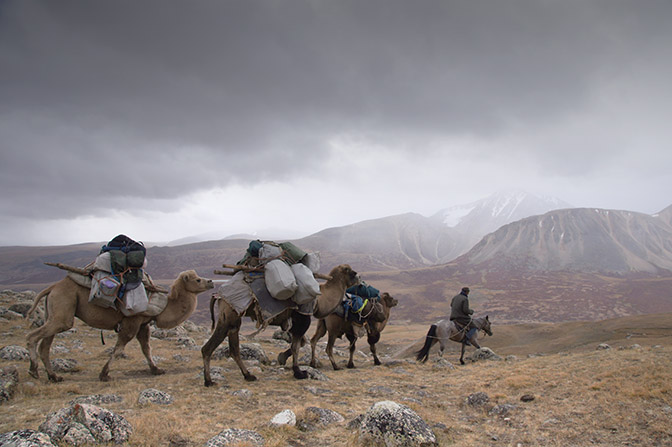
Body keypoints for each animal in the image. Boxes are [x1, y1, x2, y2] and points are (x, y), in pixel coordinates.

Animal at [26, 268, 213, 384]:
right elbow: (120, 346)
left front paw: (156, 369)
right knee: (32, 337)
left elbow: (146, 348)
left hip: (56, 312)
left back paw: (54, 376)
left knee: (45, 346)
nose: (211, 281)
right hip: (63, 308)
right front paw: (104, 374)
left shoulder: (143, 324)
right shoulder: (133, 320)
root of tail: (52, 287)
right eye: (197, 280)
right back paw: (34, 371)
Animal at [201, 264, 360, 386]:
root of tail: (218, 295)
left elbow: (299, 343)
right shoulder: (302, 317)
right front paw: (299, 372)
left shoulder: (294, 322)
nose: (359, 277)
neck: (319, 300)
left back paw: (247, 375)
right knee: (209, 348)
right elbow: (296, 346)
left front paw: (283, 358)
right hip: (229, 315)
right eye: (351, 271)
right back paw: (209, 381)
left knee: (233, 349)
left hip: (233, 320)